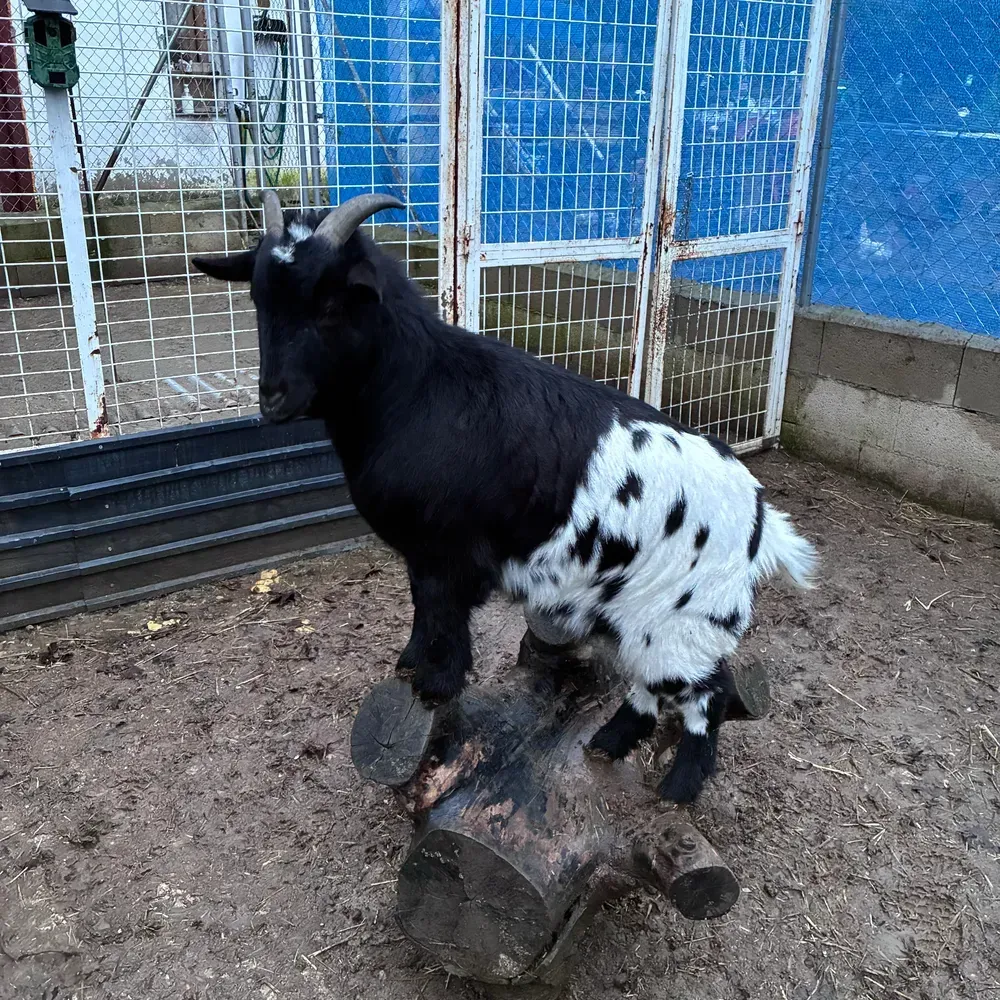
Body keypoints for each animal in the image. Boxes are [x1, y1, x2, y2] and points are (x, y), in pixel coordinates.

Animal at [192, 190, 819, 803]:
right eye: (258, 301)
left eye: (329, 305)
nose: (273, 398)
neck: (416, 389)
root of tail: (761, 518)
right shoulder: (423, 557)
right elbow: (422, 612)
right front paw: (409, 666)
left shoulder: (446, 554)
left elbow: (443, 619)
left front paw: (435, 685)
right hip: (641, 619)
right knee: (657, 686)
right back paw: (609, 744)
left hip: (685, 621)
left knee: (709, 692)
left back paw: (679, 788)